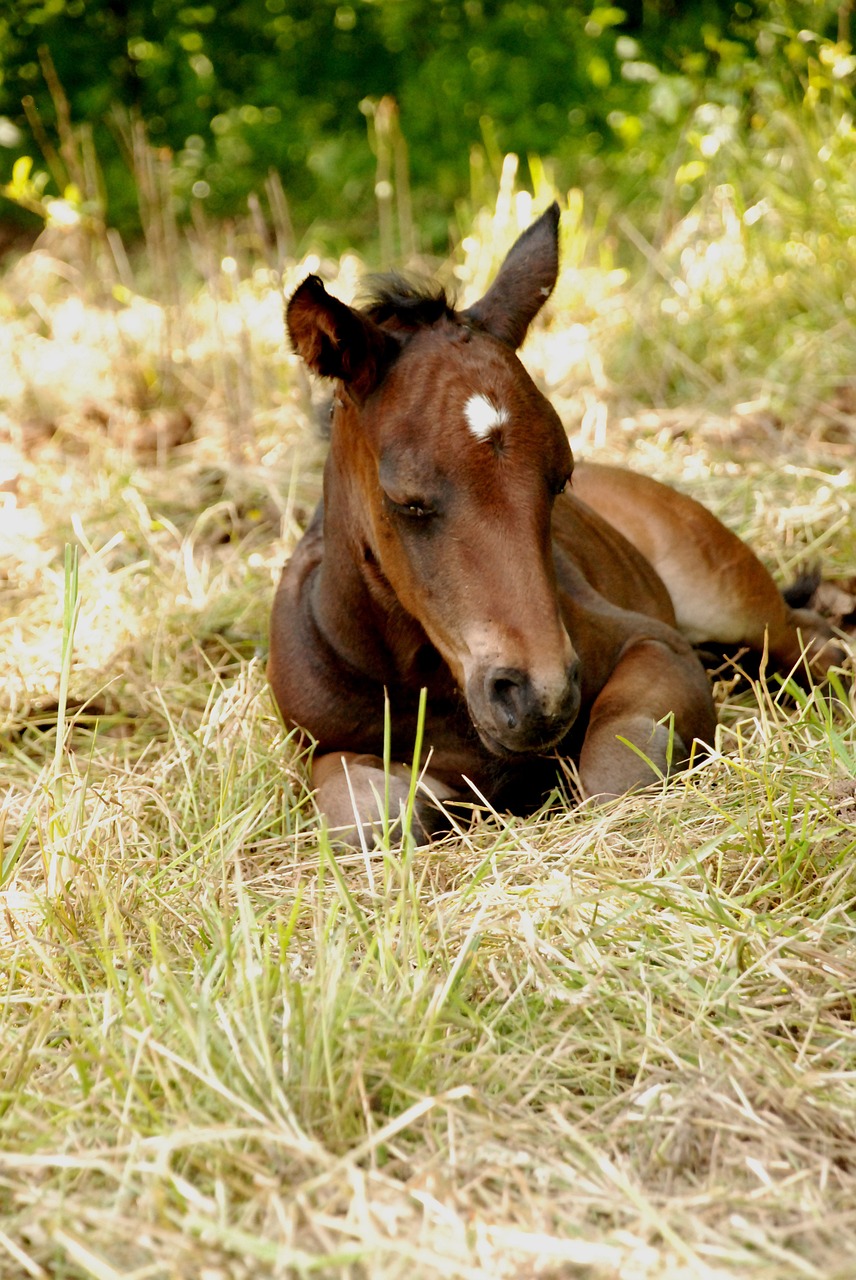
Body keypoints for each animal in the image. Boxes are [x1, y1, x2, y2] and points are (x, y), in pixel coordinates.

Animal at [268, 202, 839, 839]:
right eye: (408, 500)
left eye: (559, 478)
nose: (539, 699)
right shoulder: (321, 748)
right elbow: (374, 815)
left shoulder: (658, 646)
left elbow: (618, 768)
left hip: (730, 602)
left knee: (808, 642)